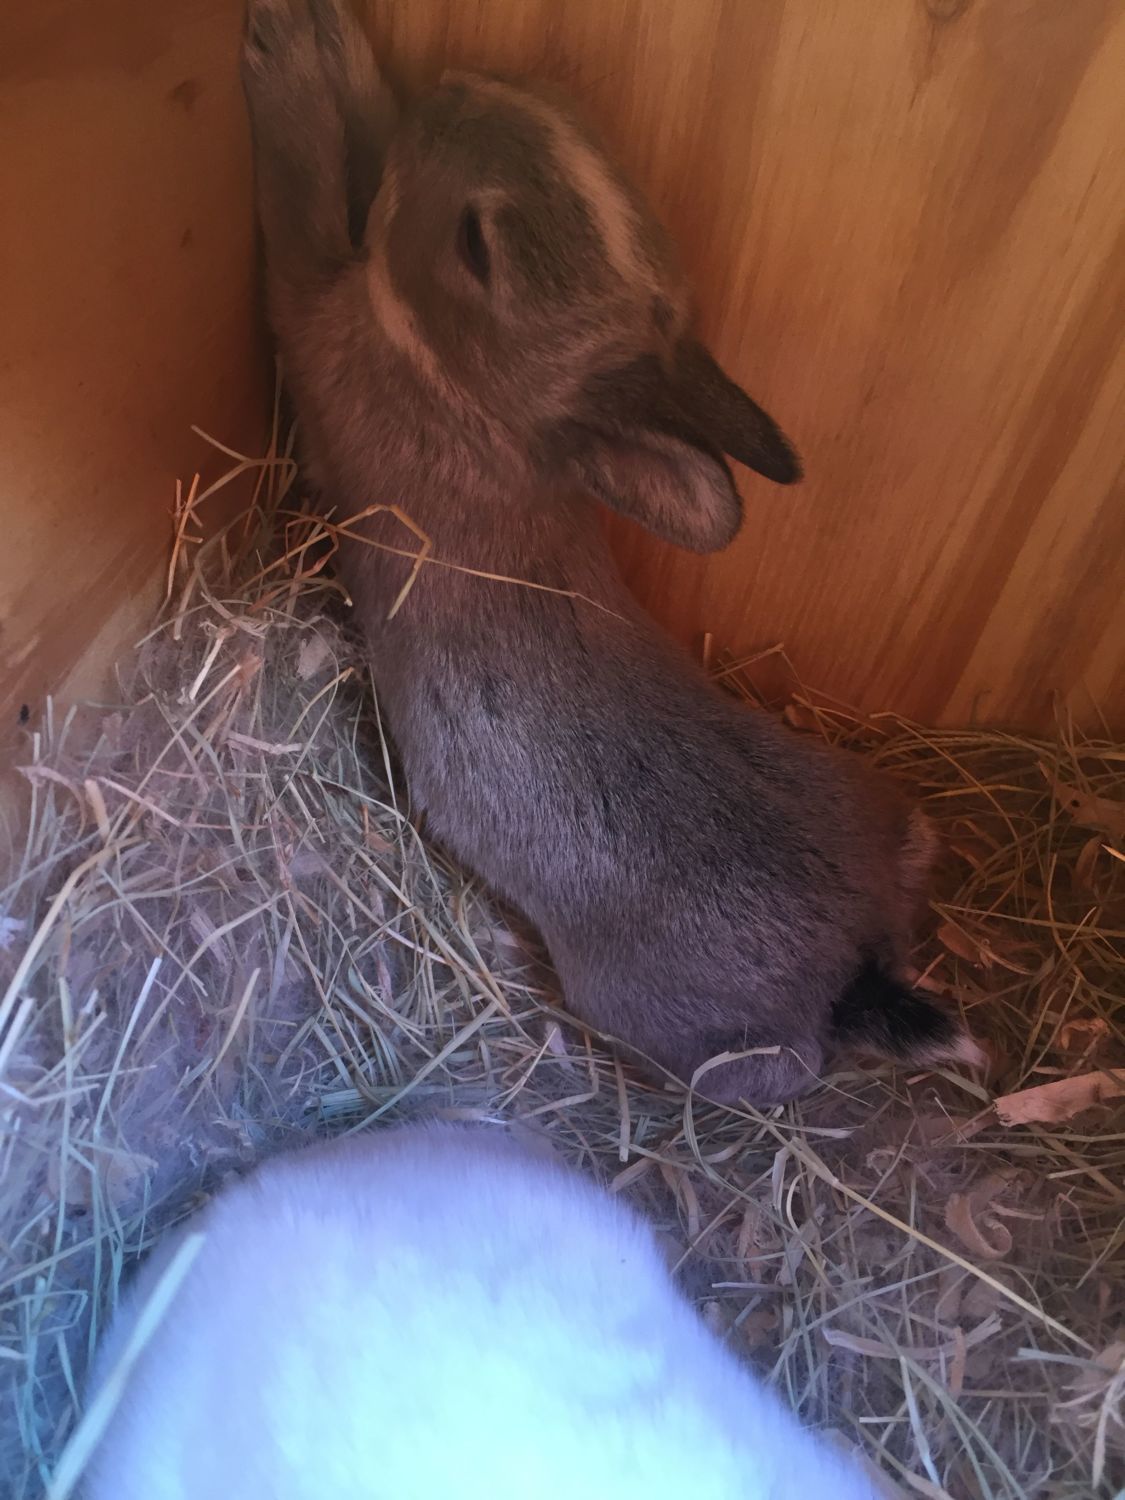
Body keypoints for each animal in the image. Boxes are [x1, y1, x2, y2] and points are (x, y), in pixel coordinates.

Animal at [239, 0, 985, 1106]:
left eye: (477, 247)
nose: (455, 87)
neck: (470, 395)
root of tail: (857, 966)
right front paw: (339, 44)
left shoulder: (320, 316)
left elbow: (303, 194)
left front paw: (285, 42)